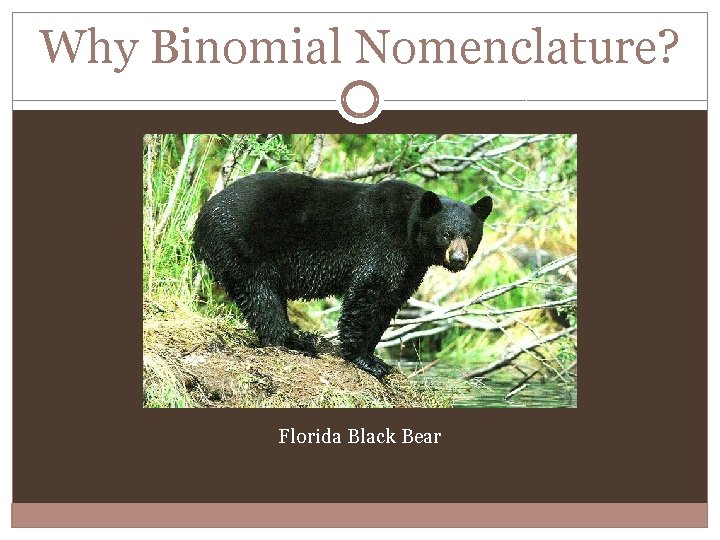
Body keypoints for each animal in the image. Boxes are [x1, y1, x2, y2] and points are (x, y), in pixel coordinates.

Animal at [193, 172, 493, 379]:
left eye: (469, 235)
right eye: (446, 234)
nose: (458, 259)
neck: (409, 230)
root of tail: (203, 215)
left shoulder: (410, 265)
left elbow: (389, 300)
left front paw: (374, 355)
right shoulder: (382, 243)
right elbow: (369, 293)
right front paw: (365, 359)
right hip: (244, 245)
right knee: (260, 294)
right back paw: (294, 342)